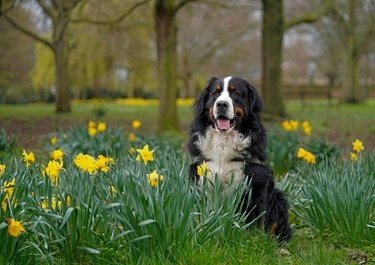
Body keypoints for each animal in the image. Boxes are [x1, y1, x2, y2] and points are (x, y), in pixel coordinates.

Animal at [189, 75, 292, 240]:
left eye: (235, 93)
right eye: (215, 93)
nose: (221, 104)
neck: (224, 142)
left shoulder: (255, 181)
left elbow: (256, 221)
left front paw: (254, 240)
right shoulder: (201, 177)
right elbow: (201, 216)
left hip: (278, 198)